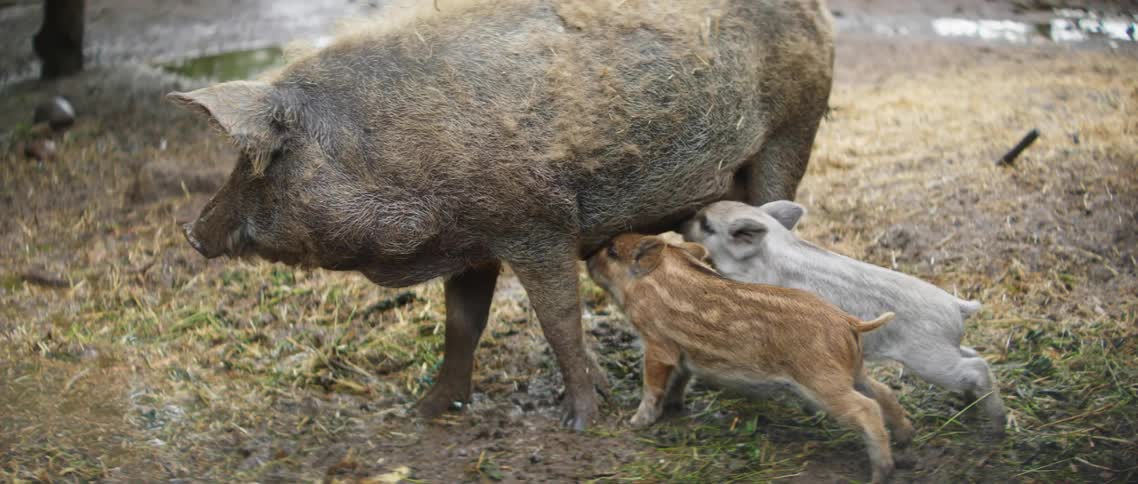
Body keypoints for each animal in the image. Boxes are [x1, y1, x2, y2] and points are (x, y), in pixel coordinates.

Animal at [168, 0, 835, 430]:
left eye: (263, 161)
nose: (193, 233)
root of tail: (817, 12)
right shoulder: (474, 241)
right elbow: (462, 324)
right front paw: (424, 413)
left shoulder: (536, 224)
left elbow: (560, 321)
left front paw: (580, 422)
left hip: (792, 131)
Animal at [587, 233, 913, 484]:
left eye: (612, 251)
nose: (586, 256)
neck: (653, 280)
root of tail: (850, 322)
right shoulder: (683, 355)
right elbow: (679, 381)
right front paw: (674, 408)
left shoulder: (658, 346)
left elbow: (652, 386)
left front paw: (636, 423)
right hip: (852, 371)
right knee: (884, 392)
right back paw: (905, 438)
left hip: (823, 382)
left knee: (867, 408)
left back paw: (881, 473)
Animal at [684, 200, 1008, 434]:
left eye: (706, 224)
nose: (682, 221)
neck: (770, 251)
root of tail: (956, 304)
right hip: (945, 349)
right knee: (973, 355)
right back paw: (970, 407)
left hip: (930, 358)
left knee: (978, 367)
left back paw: (997, 429)